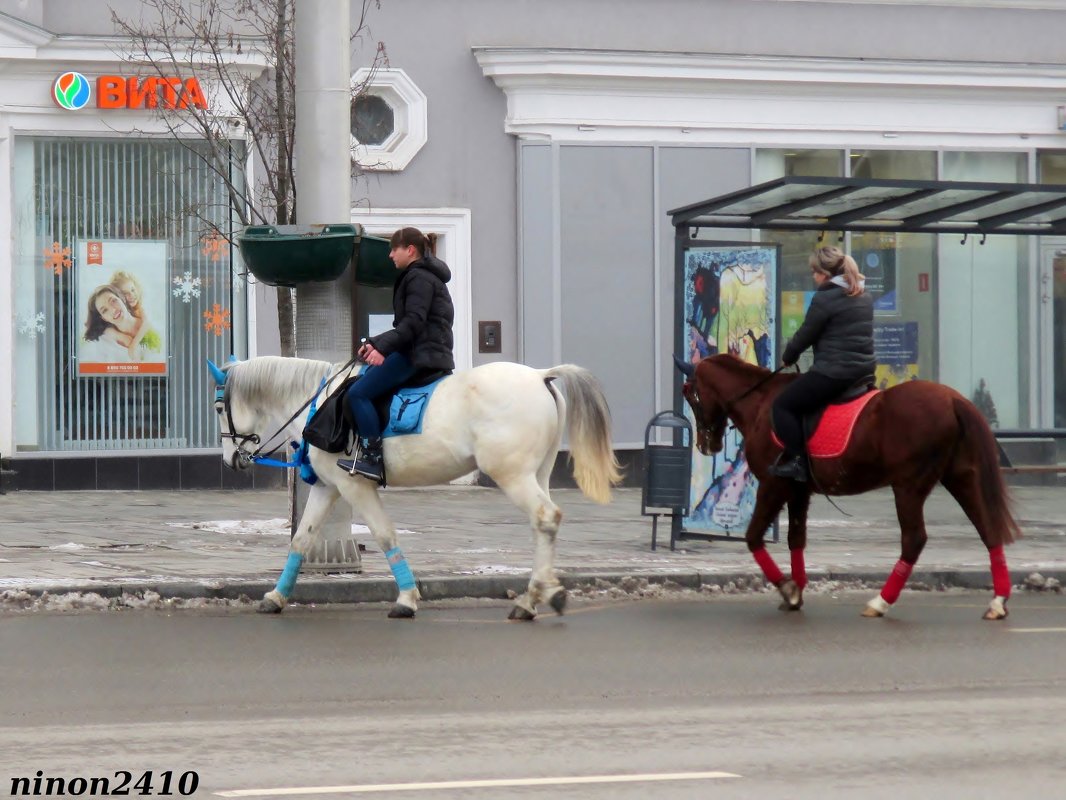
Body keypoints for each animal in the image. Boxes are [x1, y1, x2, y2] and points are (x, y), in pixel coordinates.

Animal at [210, 356, 622, 618]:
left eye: (217, 408)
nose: (230, 460)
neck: (318, 403)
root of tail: (539, 375)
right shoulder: (328, 487)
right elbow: (301, 539)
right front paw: (276, 597)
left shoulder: (354, 486)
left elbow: (385, 535)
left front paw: (407, 599)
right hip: (537, 473)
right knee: (543, 526)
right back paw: (541, 593)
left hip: (513, 475)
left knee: (545, 517)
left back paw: (530, 599)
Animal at [677, 354, 1019, 622]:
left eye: (691, 395)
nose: (706, 444)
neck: (761, 403)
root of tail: (952, 399)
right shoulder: (798, 491)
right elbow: (796, 539)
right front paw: (797, 591)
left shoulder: (774, 486)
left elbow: (753, 537)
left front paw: (788, 589)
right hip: (960, 478)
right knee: (987, 529)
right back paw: (997, 602)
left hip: (908, 485)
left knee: (914, 539)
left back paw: (880, 602)